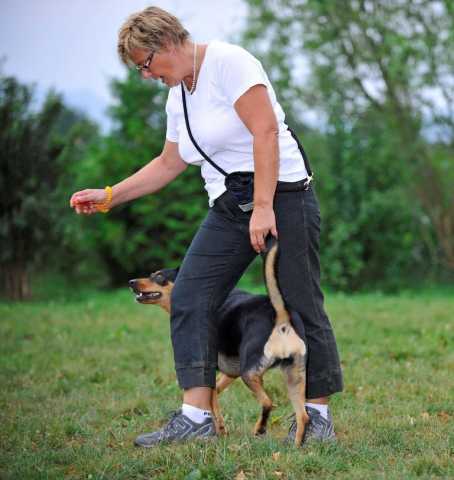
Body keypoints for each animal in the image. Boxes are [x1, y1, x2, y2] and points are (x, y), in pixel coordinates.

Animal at [129, 240, 309, 445]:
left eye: (159, 276)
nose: (131, 282)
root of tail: (281, 317)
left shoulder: (213, 368)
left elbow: (212, 401)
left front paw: (216, 429)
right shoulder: (230, 372)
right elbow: (214, 396)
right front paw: (220, 429)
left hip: (250, 374)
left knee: (268, 402)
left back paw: (260, 429)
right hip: (294, 377)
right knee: (303, 416)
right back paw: (296, 447)